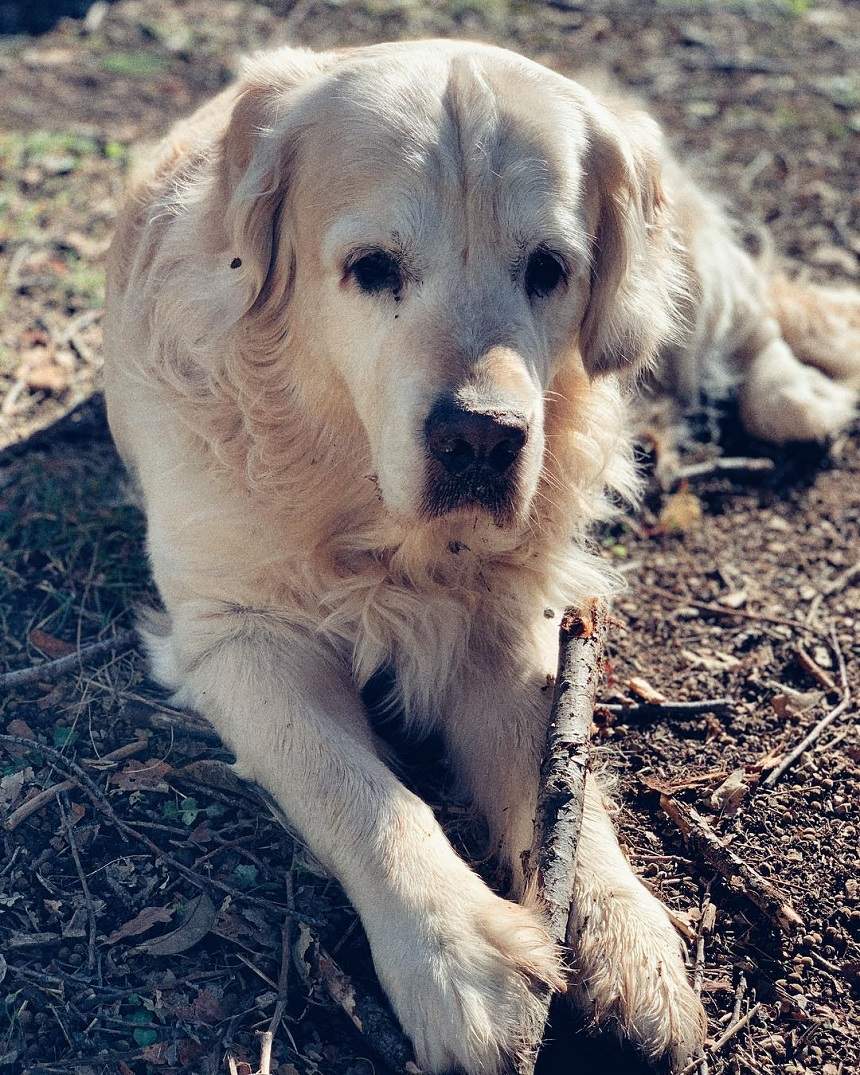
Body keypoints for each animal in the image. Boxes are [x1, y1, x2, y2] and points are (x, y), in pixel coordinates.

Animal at [102, 39, 860, 1075]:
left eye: (549, 268)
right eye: (371, 268)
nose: (479, 440)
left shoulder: (510, 617)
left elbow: (556, 770)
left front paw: (627, 934)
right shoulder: (238, 632)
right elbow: (359, 791)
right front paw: (462, 959)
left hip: (686, 276)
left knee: (753, 319)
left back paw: (795, 398)